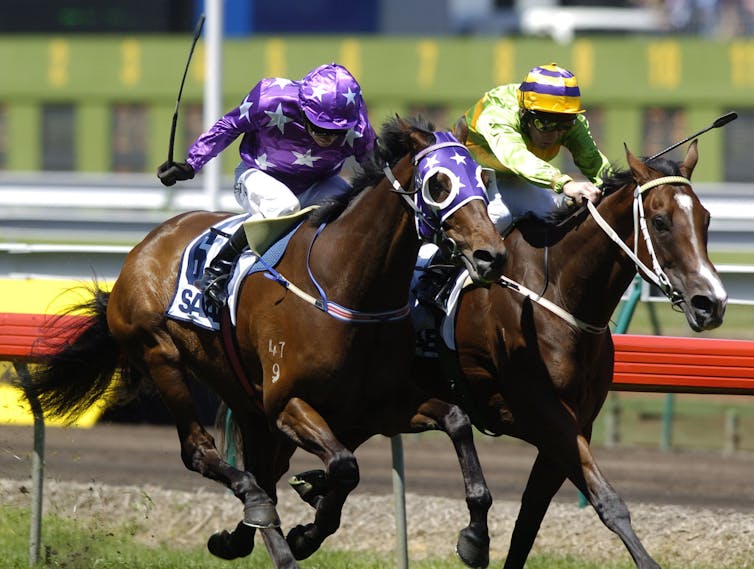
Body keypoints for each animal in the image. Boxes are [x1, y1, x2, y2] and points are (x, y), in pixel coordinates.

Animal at [26, 116, 506, 568]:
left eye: (483, 178)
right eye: (439, 183)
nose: (491, 255)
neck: (348, 285)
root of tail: (147, 244)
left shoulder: (379, 405)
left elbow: (455, 422)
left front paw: (475, 538)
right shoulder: (287, 402)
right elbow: (343, 466)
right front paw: (308, 527)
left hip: (241, 392)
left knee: (265, 473)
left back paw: (243, 536)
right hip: (162, 356)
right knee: (206, 455)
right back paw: (255, 507)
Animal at [406, 139, 728, 568]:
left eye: (705, 219)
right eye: (660, 221)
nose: (712, 303)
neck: (557, 292)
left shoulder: (574, 424)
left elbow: (530, 518)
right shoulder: (547, 414)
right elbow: (607, 500)